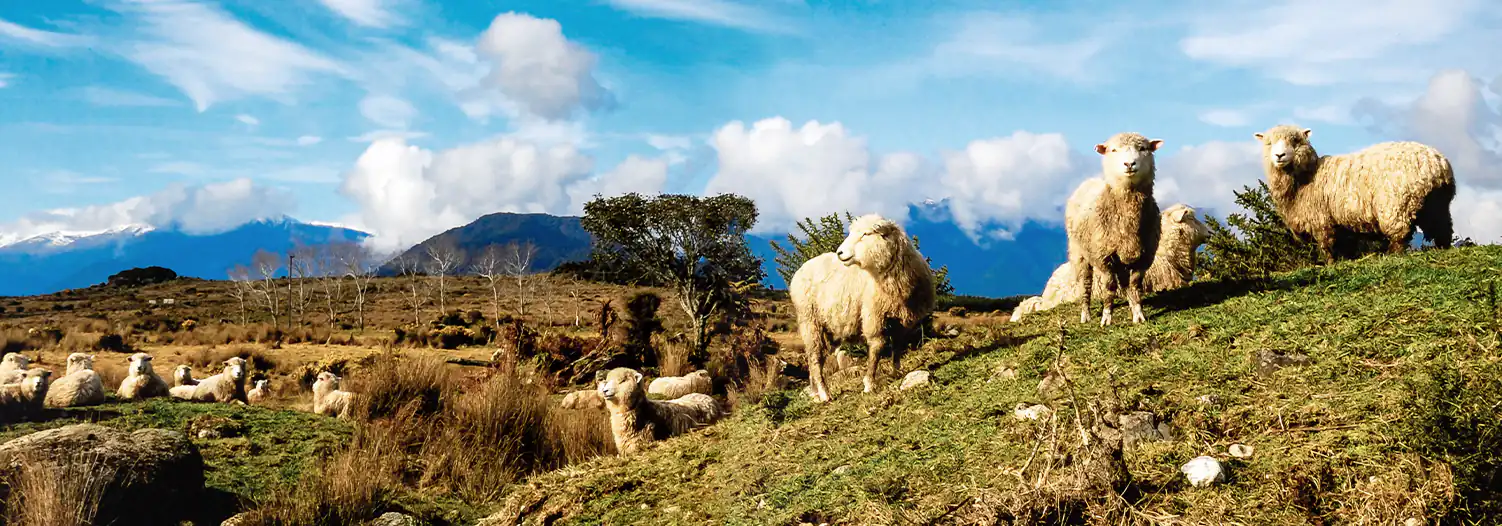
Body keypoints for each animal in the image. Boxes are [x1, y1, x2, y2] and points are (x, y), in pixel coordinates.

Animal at [793, 213, 931, 402]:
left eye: (866, 234)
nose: (840, 253)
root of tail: (802, 269)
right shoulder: (873, 315)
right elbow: (877, 347)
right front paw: (869, 384)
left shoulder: (900, 320)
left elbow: (897, 345)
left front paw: (897, 372)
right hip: (809, 320)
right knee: (815, 357)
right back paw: (824, 393)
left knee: (813, 358)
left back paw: (814, 393)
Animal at [1063, 132, 1165, 324]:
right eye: (1113, 150)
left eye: (1143, 148)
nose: (1129, 164)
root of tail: (1088, 181)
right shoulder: (1104, 257)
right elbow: (1109, 287)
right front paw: (1106, 317)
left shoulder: (1145, 256)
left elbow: (1135, 284)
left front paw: (1138, 313)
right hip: (1079, 252)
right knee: (1085, 283)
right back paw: (1085, 314)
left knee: (1125, 283)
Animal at [1255, 123, 1453, 263]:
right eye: (1269, 143)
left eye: (1295, 141)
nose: (1279, 156)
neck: (1306, 177)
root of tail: (1436, 163)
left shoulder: (1321, 220)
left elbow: (1326, 246)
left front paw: (1330, 264)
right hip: (1436, 203)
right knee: (1443, 228)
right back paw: (1443, 248)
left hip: (1396, 205)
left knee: (1400, 235)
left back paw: (1391, 255)